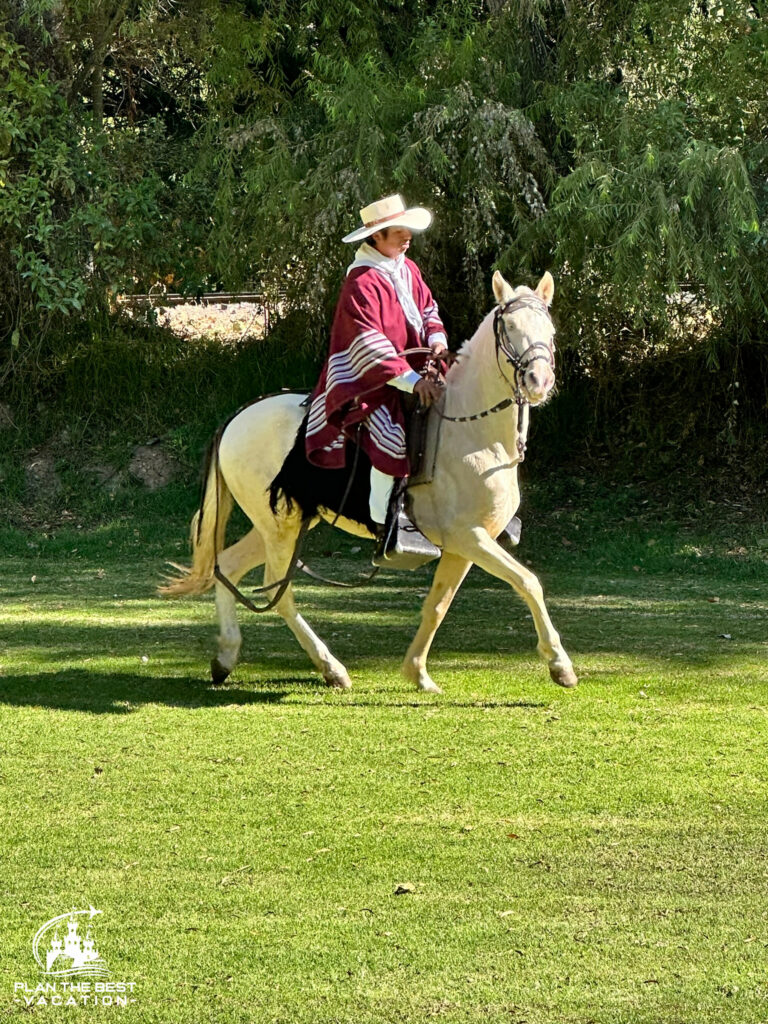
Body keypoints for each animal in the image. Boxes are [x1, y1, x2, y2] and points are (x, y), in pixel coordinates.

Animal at [163, 268, 581, 692]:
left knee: (229, 566)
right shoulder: (471, 537)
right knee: (280, 591)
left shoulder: (464, 546)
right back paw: (331, 667)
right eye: (509, 328)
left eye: (549, 330)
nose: (538, 380)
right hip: (279, 528)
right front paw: (559, 664)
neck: (473, 433)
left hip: (285, 523)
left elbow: (437, 604)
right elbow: (528, 582)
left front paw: (418, 672)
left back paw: (226, 657)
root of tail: (237, 417)